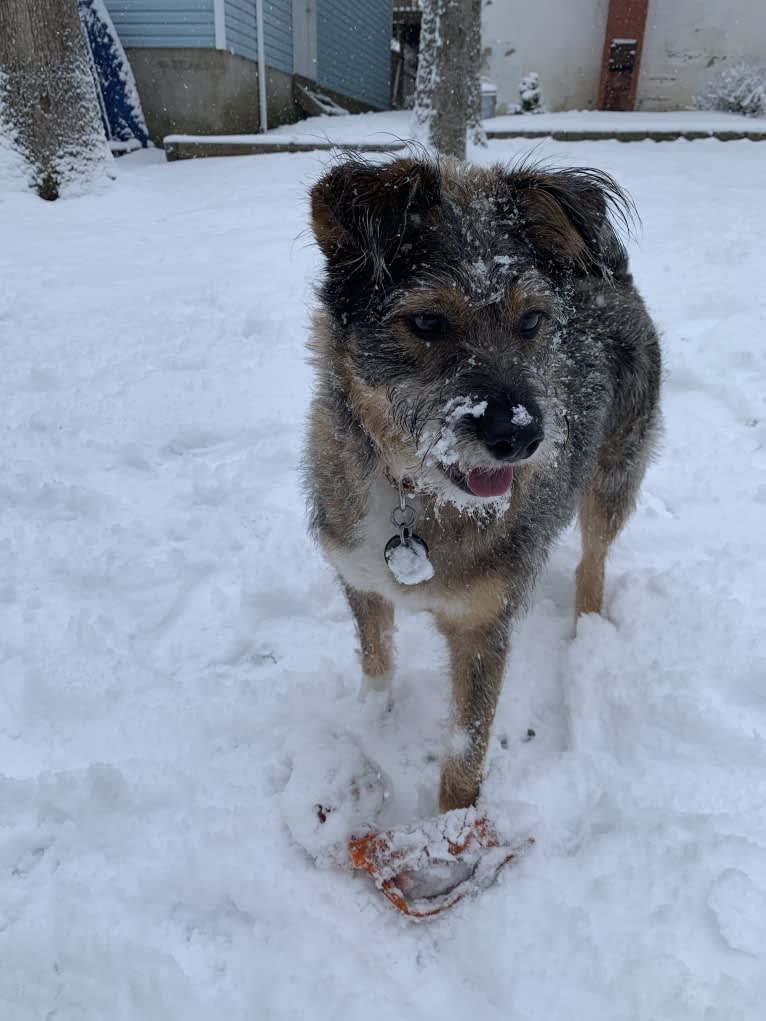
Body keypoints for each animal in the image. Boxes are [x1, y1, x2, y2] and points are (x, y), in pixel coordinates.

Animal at [302, 155, 661, 812]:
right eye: (426, 321)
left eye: (532, 321)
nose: (521, 436)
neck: (415, 496)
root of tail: (608, 273)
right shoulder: (360, 580)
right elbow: (376, 663)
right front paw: (369, 727)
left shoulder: (483, 630)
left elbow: (464, 755)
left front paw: (453, 827)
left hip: (614, 475)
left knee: (592, 560)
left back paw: (587, 632)